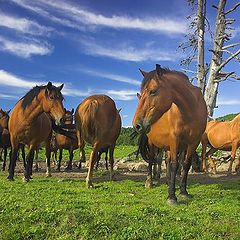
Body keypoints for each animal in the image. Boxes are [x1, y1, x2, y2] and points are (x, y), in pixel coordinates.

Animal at [132, 64, 207, 204]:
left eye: (153, 91)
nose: (137, 125)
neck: (191, 110)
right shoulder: (174, 140)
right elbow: (174, 165)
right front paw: (172, 197)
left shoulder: (192, 142)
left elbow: (185, 164)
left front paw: (183, 192)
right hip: (153, 144)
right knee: (152, 160)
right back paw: (150, 182)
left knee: (165, 161)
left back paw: (168, 182)